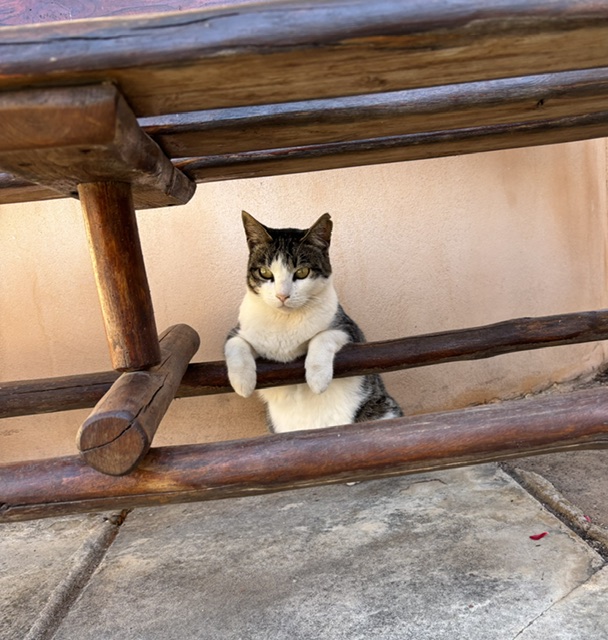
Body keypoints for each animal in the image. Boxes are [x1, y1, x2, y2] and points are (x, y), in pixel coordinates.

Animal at [224, 210, 403, 433]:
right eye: (265, 272)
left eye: (302, 272)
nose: (282, 296)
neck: (285, 320)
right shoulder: (240, 330)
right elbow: (234, 343)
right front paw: (242, 382)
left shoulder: (350, 330)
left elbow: (323, 336)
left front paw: (317, 379)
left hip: (383, 411)